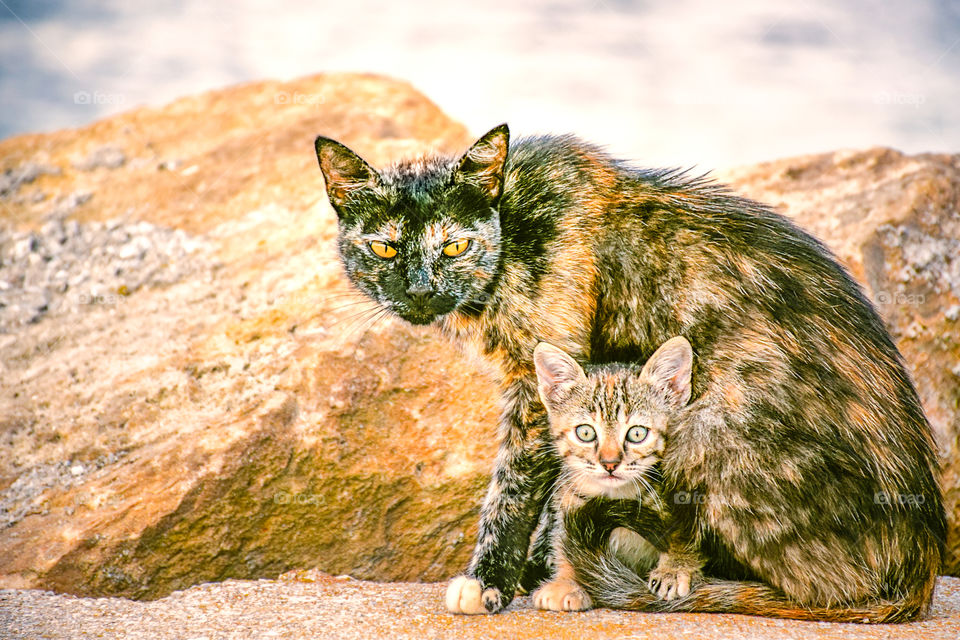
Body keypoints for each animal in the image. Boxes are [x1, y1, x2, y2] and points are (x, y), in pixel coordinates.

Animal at [316, 122, 944, 616]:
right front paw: (547, 571)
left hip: (706, 426)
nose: (421, 291)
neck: (514, 232)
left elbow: (515, 489)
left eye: (454, 247)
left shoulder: (536, 389)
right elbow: (567, 484)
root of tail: (923, 566)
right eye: (385, 249)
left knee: (821, 589)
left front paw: (489, 580)